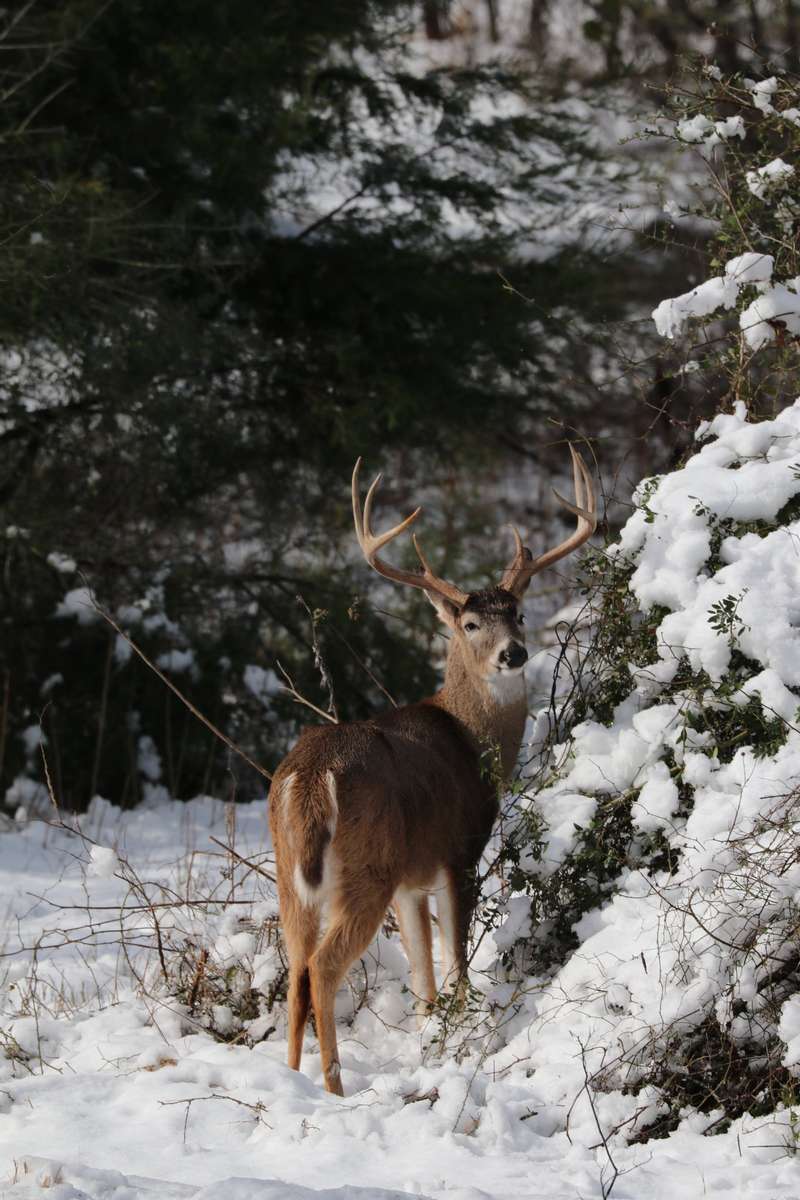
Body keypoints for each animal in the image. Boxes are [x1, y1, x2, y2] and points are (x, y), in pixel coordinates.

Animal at [268, 447, 596, 1095]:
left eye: (520, 614)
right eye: (469, 624)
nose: (514, 654)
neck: (471, 740)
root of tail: (311, 777)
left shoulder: (410, 882)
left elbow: (423, 982)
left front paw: (430, 1041)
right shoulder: (458, 852)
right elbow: (457, 968)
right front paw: (461, 1041)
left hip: (291, 872)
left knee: (295, 968)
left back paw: (290, 1082)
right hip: (367, 866)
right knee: (321, 968)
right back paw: (334, 1087)